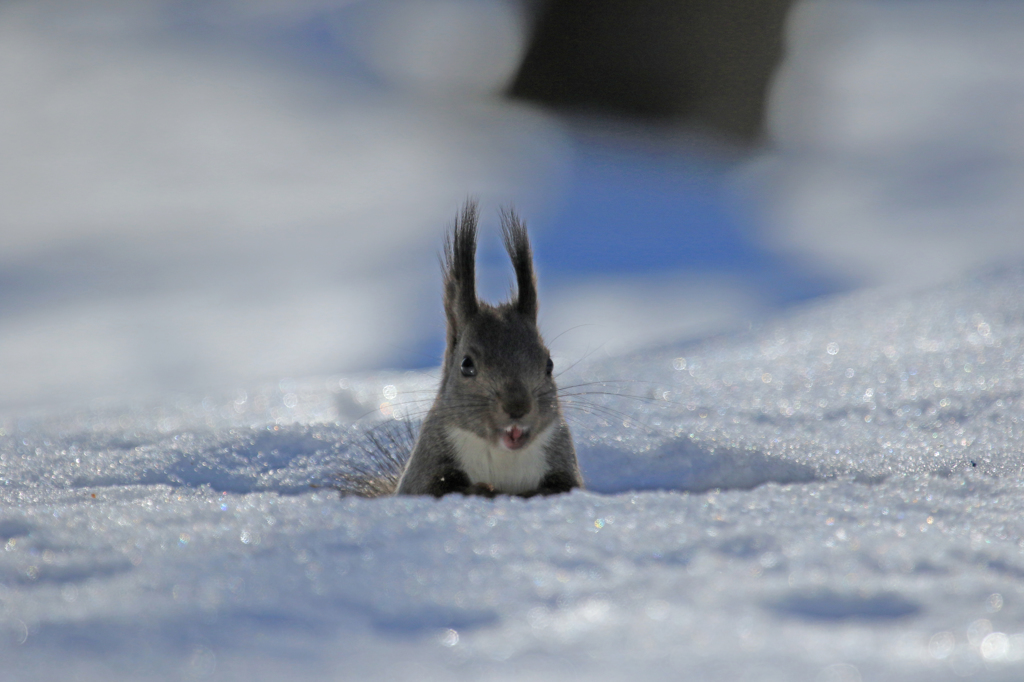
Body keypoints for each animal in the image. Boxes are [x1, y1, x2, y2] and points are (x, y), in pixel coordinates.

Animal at [393, 199, 585, 497]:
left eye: (549, 365)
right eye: (466, 365)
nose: (517, 407)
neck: (503, 455)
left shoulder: (562, 458)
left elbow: (563, 487)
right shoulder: (426, 465)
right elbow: (435, 489)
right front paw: (484, 490)